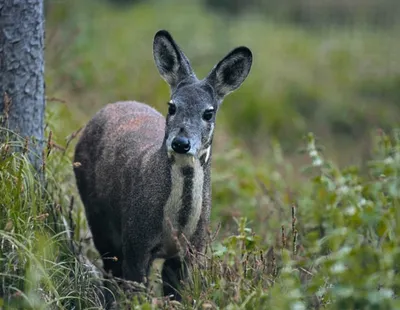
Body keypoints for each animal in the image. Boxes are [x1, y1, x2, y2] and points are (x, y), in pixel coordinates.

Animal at [73, 29, 252, 300]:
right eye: (172, 106)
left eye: (208, 113)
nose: (181, 143)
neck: (176, 225)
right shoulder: (136, 240)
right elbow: (135, 292)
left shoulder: (192, 250)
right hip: (97, 214)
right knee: (110, 269)